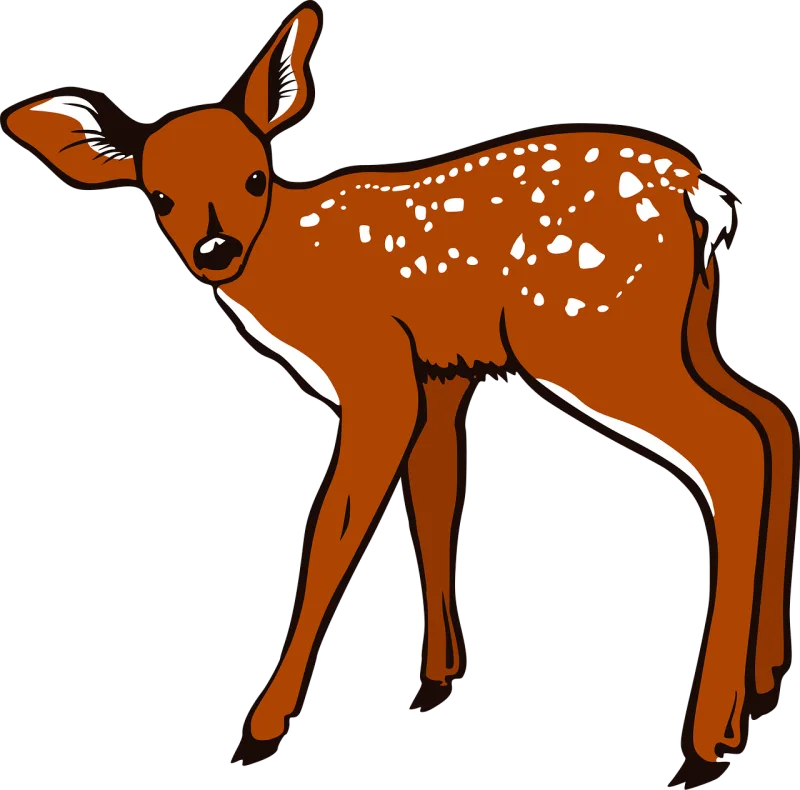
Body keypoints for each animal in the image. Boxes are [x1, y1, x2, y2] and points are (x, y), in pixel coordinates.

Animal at [1, 1, 796, 785]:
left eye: (257, 177)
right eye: (160, 196)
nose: (216, 251)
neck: (294, 270)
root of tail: (702, 193)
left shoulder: (377, 371)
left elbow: (330, 530)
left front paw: (261, 730)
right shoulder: (439, 375)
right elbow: (435, 497)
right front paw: (436, 682)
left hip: (588, 335)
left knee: (731, 447)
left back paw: (705, 742)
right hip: (683, 329)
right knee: (771, 417)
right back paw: (762, 687)